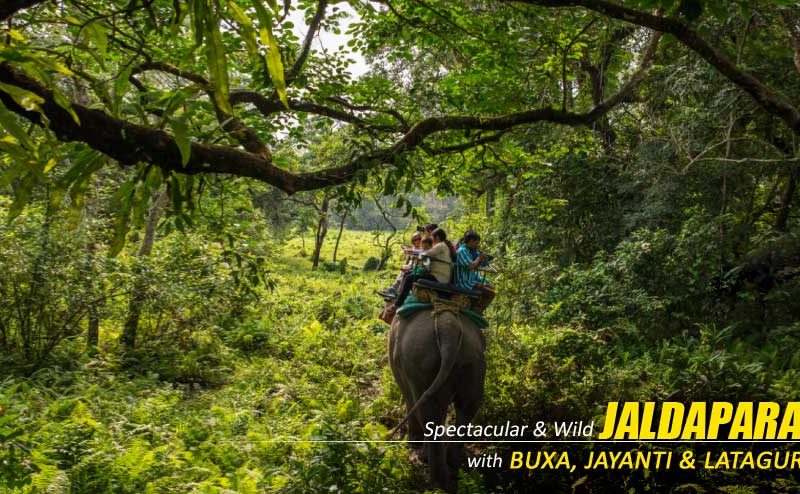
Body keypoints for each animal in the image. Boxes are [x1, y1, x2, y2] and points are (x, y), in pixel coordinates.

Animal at [388, 309, 486, 493]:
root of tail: (447, 327)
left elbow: (410, 398)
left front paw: (413, 446)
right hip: (473, 362)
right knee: (467, 407)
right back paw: (454, 465)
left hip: (420, 362)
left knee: (429, 416)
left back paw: (438, 485)